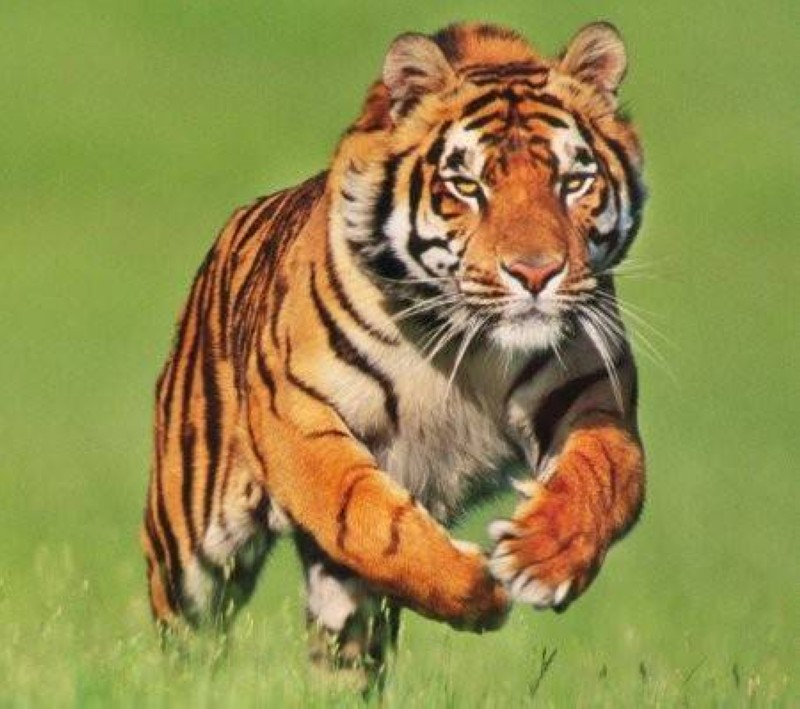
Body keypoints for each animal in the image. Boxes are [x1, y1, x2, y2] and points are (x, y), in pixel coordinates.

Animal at [141, 20, 647, 687]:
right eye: (468, 187)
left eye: (573, 182)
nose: (535, 273)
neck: (469, 344)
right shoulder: (299, 414)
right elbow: (366, 515)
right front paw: (478, 589)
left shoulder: (592, 393)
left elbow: (604, 478)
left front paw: (545, 557)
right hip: (189, 541)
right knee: (186, 631)